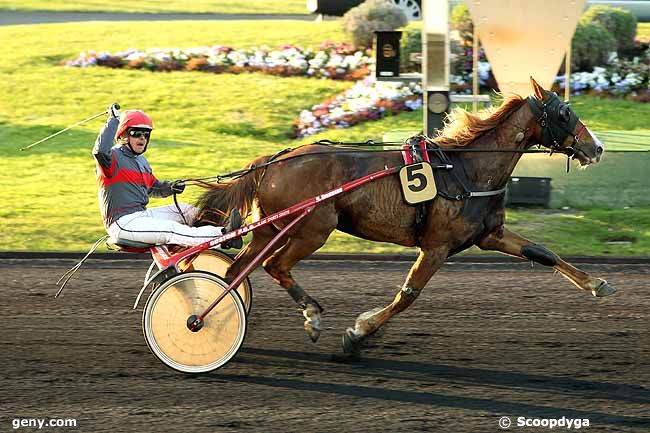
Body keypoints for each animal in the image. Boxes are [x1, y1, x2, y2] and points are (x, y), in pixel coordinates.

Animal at [195, 77, 616, 354]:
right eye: (564, 112)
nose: (596, 148)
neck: (466, 170)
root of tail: (273, 161)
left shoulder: (489, 234)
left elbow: (542, 252)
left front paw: (597, 283)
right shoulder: (436, 245)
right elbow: (407, 295)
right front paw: (358, 334)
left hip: (273, 229)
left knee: (237, 272)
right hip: (314, 228)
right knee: (275, 266)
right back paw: (309, 315)